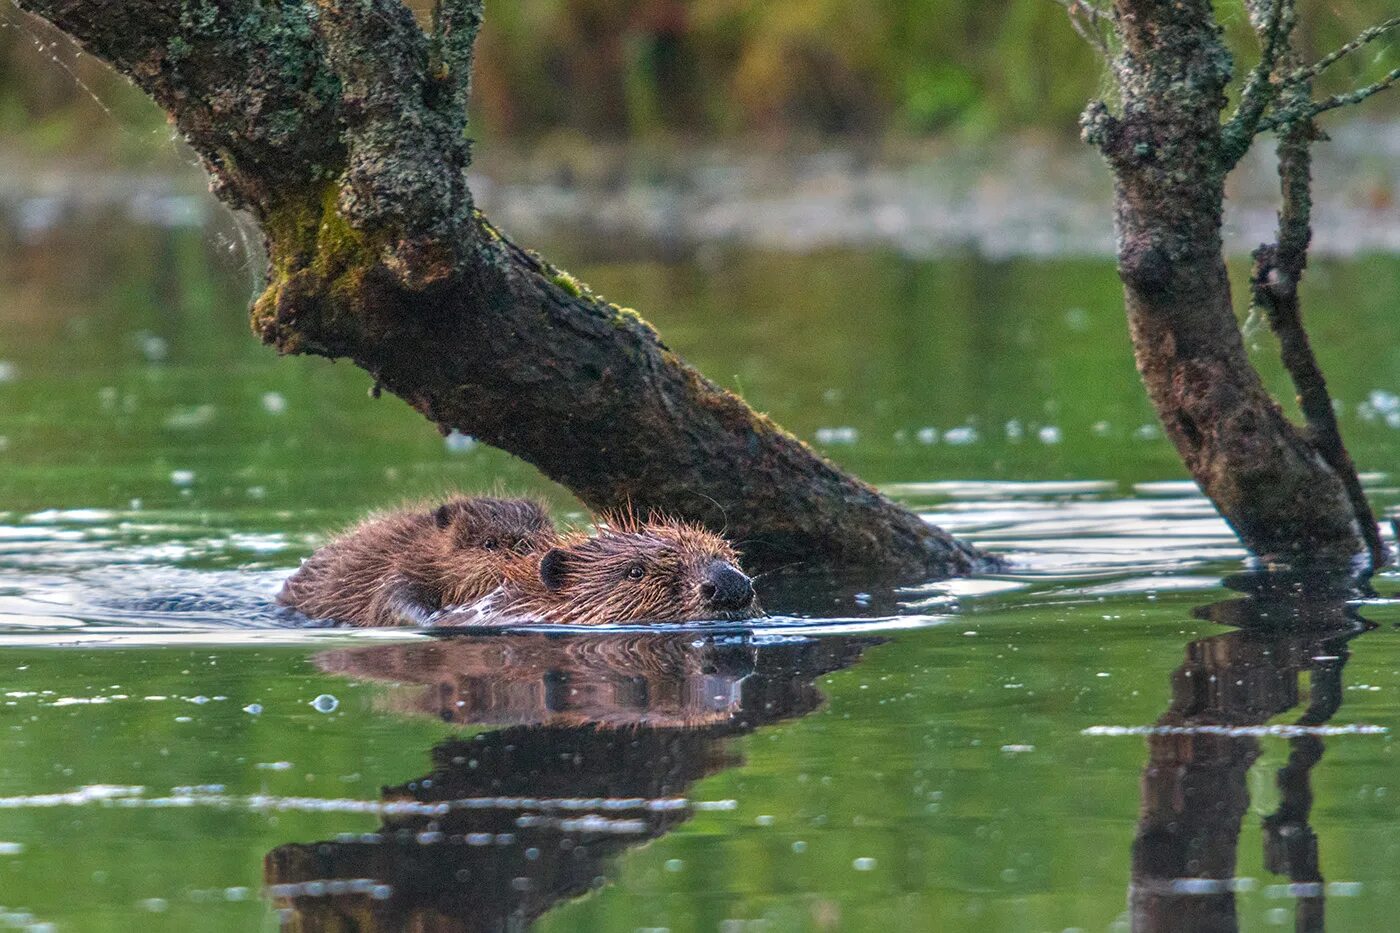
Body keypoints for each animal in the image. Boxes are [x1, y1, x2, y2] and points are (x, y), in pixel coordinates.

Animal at [275, 493, 554, 624]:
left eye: (545, 537)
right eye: (489, 544)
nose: (533, 553)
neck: (427, 549)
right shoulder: (398, 566)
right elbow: (389, 602)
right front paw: (435, 616)